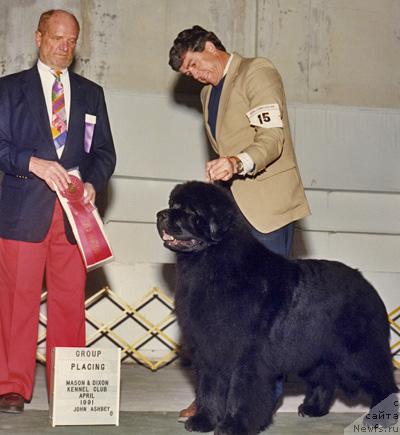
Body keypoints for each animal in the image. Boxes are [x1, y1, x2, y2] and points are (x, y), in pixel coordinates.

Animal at [156, 182, 396, 434]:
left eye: (190, 212)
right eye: (173, 205)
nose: (160, 215)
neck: (214, 263)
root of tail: (365, 282)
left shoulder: (248, 354)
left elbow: (240, 392)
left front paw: (234, 425)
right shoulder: (210, 349)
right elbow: (209, 387)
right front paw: (204, 420)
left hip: (358, 352)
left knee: (382, 380)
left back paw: (380, 419)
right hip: (314, 349)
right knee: (324, 377)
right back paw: (313, 408)